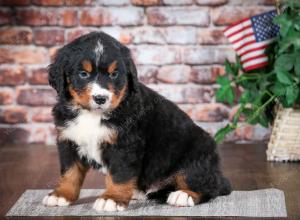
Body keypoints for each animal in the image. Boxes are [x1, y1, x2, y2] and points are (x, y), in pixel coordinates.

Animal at [42, 32, 231, 211]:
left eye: (114, 74)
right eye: (83, 74)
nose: (101, 98)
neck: (93, 115)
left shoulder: (125, 145)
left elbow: (119, 175)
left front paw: (112, 198)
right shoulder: (68, 140)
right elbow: (69, 172)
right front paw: (61, 195)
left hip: (197, 154)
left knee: (208, 186)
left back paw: (184, 195)